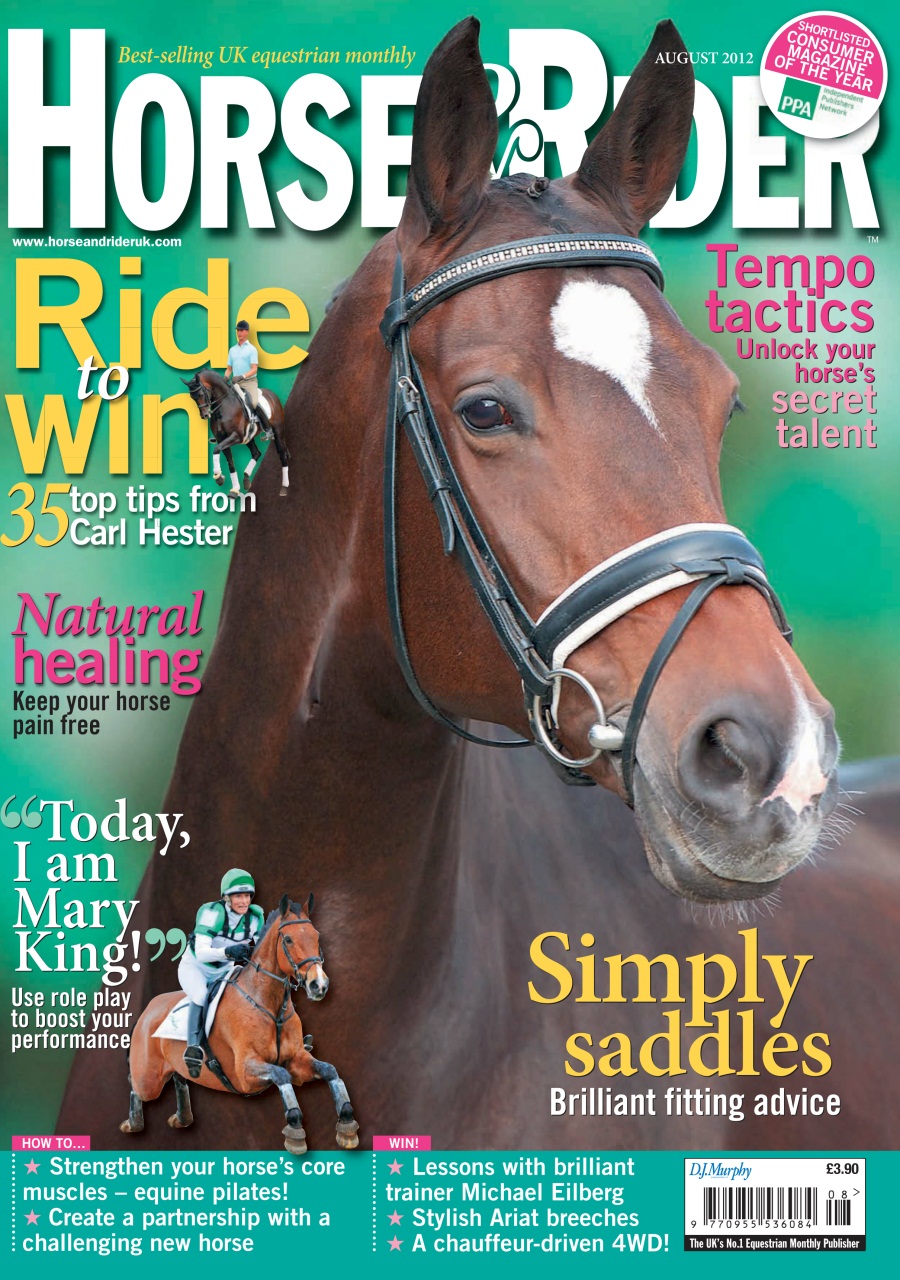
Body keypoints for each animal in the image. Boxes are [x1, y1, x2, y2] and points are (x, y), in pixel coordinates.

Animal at [119, 895, 358, 1154]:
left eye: (316, 936)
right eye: (288, 939)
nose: (319, 985)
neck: (270, 1005)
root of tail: (147, 1010)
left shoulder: (297, 1060)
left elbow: (329, 1070)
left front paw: (347, 1123)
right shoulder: (245, 1072)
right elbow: (281, 1075)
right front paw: (295, 1131)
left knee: (179, 1077)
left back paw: (182, 1118)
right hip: (149, 1080)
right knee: (136, 1085)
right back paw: (132, 1124)